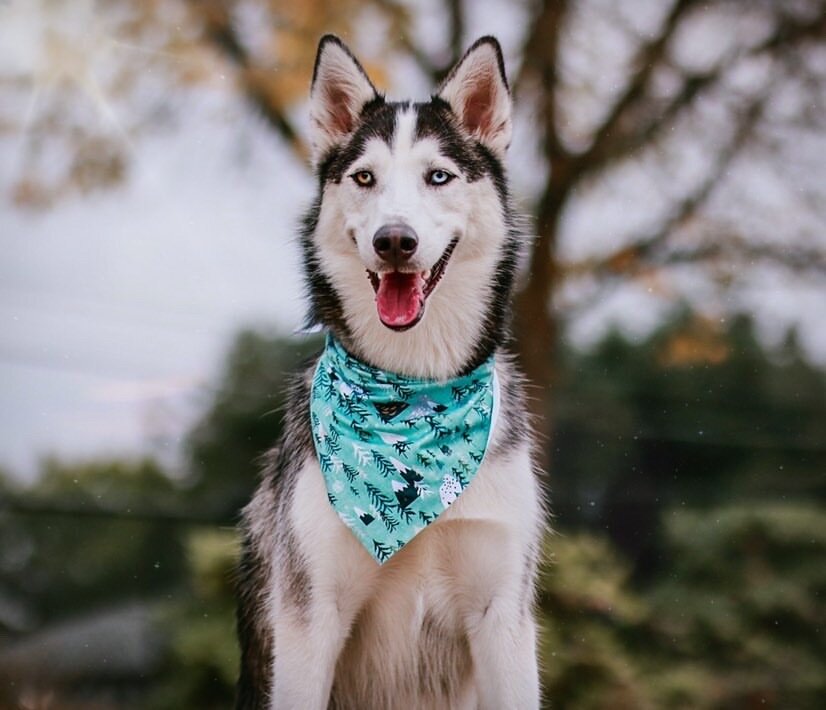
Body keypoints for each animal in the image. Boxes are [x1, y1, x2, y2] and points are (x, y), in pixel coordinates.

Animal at [235, 34, 544, 710]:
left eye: (439, 176)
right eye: (364, 178)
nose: (394, 240)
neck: (414, 395)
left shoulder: (503, 613)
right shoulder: (309, 617)